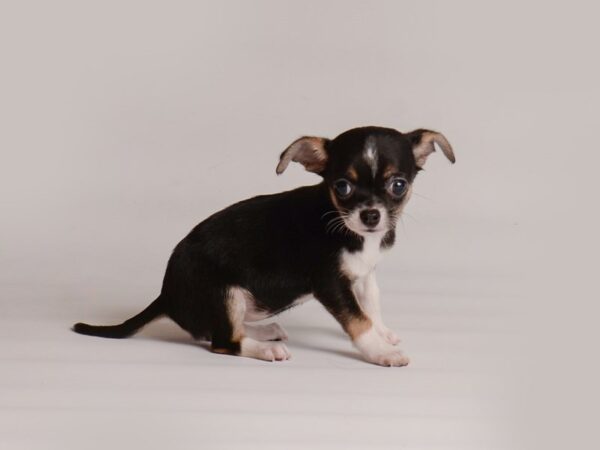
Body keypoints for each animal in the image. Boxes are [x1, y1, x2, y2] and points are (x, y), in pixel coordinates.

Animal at [71, 125, 454, 366]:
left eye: (398, 185)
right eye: (342, 187)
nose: (371, 215)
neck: (350, 230)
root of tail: (167, 296)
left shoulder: (364, 274)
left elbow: (371, 305)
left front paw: (383, 333)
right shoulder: (331, 284)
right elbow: (357, 320)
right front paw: (379, 352)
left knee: (208, 331)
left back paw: (264, 330)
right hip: (224, 292)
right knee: (222, 341)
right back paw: (264, 349)